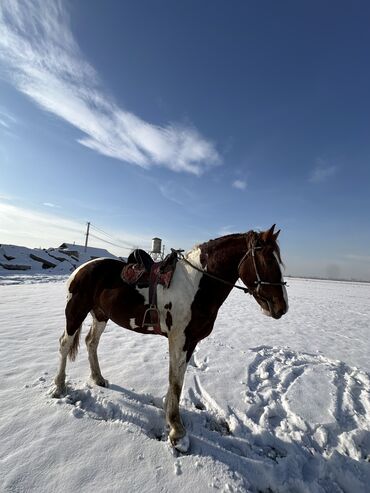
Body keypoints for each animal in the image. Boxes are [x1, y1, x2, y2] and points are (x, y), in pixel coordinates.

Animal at [52, 225, 290, 452]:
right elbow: (176, 381)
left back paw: (98, 378)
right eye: (268, 259)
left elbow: (177, 378)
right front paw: (177, 432)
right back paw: (59, 387)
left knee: (91, 342)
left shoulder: (190, 341)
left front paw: (169, 416)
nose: (282, 307)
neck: (195, 285)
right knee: (65, 344)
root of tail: (81, 269)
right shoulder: (179, 339)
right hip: (75, 312)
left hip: (101, 315)